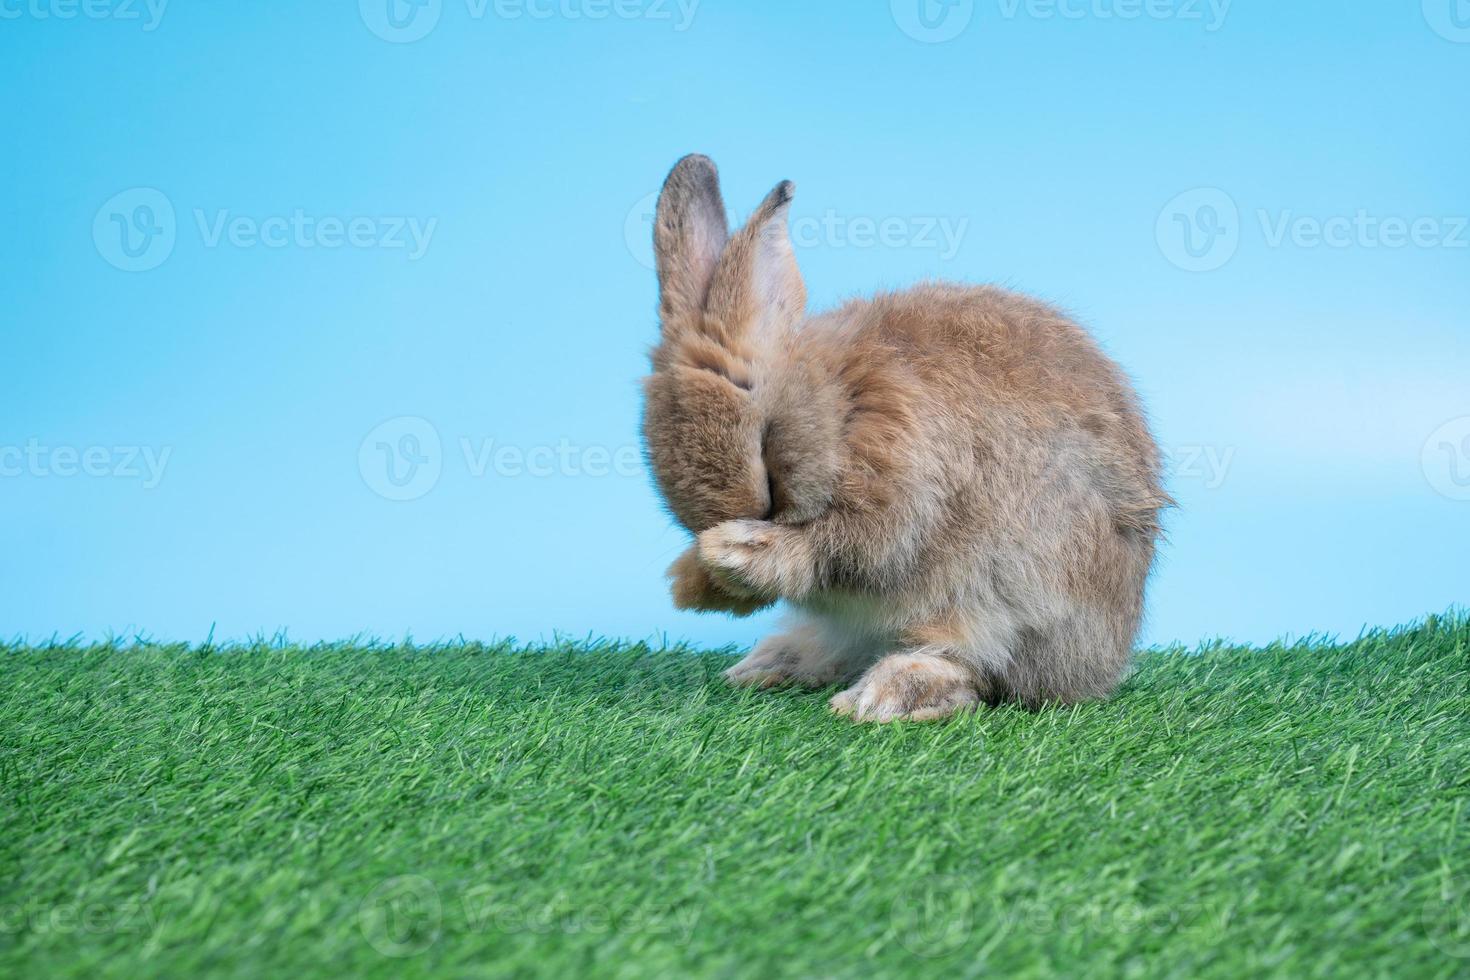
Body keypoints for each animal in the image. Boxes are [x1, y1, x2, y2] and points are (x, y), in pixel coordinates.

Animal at [643, 153, 1170, 719]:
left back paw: (881, 696)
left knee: (975, 673)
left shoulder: (904, 496)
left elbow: (841, 550)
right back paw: (768, 666)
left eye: (767, 448)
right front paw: (692, 583)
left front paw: (734, 553)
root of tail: (1105, 663)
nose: (730, 528)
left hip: (1010, 609)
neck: (842, 406)